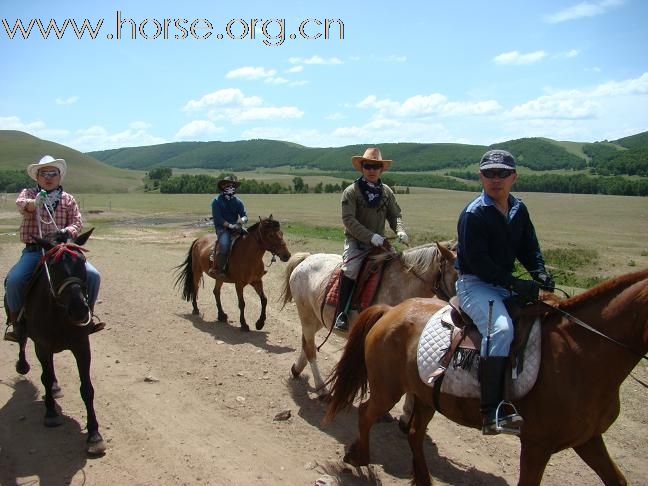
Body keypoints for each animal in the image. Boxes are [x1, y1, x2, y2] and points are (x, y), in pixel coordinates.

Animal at [9, 228, 105, 456]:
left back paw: (54, 387)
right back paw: (23, 365)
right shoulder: (42, 346)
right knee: (22, 341)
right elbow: (44, 376)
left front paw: (94, 435)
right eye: (53, 266)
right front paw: (51, 414)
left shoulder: (82, 346)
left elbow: (87, 389)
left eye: (82, 260)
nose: (79, 309)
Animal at [280, 241, 458, 396]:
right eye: (458, 276)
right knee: (310, 348)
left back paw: (297, 369)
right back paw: (320, 386)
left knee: (306, 343)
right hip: (307, 316)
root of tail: (306, 258)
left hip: (318, 318)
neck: (401, 285)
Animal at [326, 270, 648, 486]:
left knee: (415, 433)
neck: (580, 352)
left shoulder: (588, 439)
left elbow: (617, 480)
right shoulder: (537, 445)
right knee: (367, 413)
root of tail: (392, 310)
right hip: (388, 389)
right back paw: (358, 457)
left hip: (425, 395)